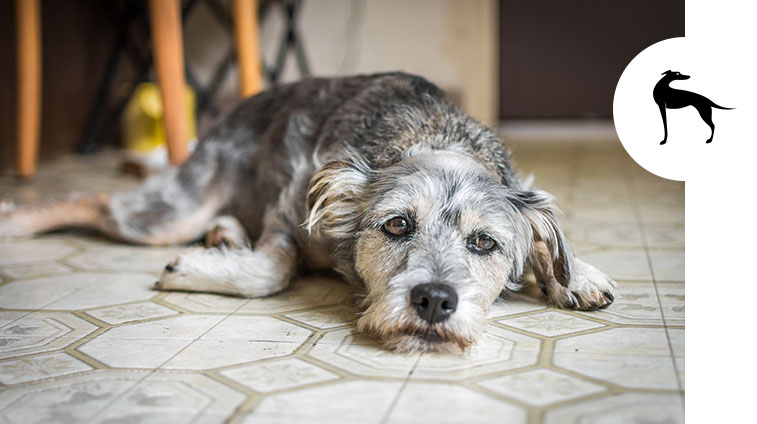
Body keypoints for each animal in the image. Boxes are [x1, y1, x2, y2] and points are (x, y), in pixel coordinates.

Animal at [0, 73, 616, 354]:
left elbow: (551, 243)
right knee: (96, 200)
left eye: (484, 242)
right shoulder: (288, 210)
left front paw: (576, 275)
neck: (431, 135)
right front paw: (197, 270)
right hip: (172, 211)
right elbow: (272, 270)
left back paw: (225, 235)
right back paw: (14, 219)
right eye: (397, 225)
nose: (435, 301)